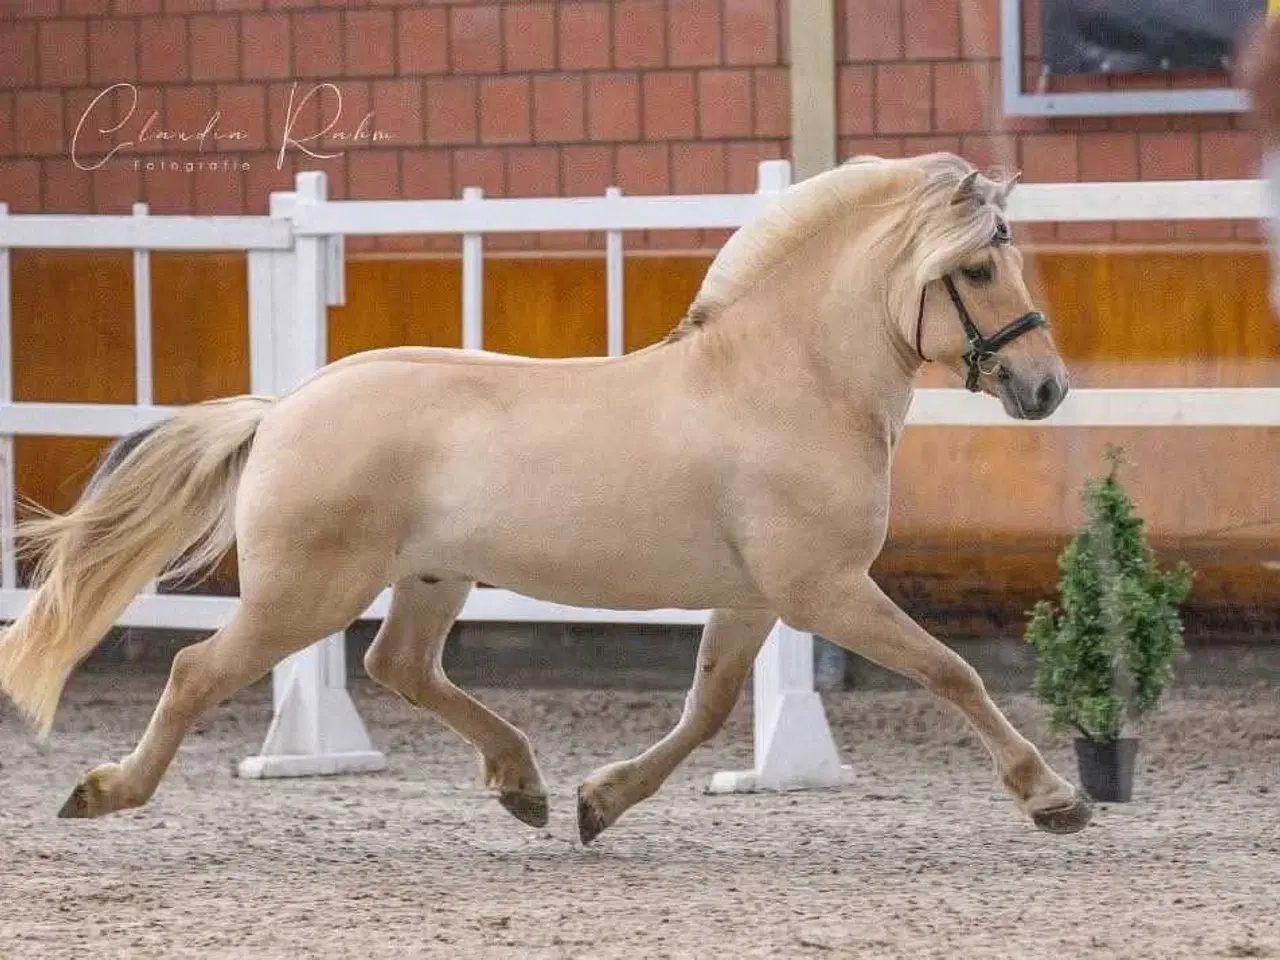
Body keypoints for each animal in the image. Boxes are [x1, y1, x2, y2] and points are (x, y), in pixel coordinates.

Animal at [0, 152, 1092, 842]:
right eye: (978, 266)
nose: (1045, 388)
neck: (786, 381)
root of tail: (284, 409)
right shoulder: (823, 589)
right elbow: (951, 672)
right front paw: (1051, 797)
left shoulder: (756, 598)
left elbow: (707, 708)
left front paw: (597, 803)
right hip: (304, 594)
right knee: (197, 671)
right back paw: (103, 792)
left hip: (429, 578)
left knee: (401, 666)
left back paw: (521, 783)